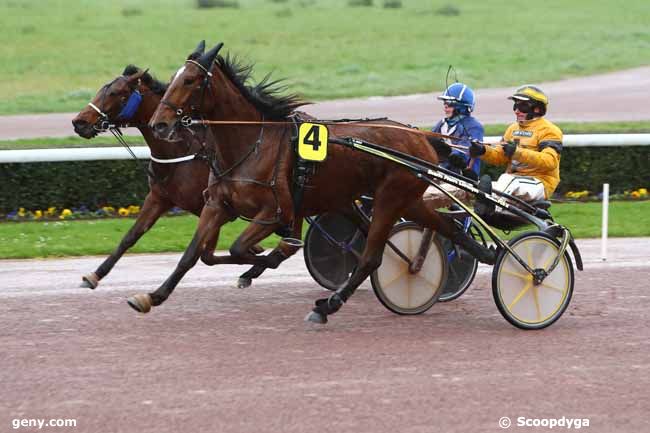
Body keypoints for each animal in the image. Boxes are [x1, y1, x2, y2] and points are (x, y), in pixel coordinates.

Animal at [134, 42, 492, 322]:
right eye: (173, 79)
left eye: (190, 80)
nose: (159, 124)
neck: (252, 142)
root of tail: (421, 138)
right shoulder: (217, 204)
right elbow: (194, 254)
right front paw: (152, 296)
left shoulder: (274, 211)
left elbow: (241, 248)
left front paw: (268, 257)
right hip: (387, 198)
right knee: (440, 228)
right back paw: (461, 258)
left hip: (390, 198)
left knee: (372, 256)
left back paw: (328, 305)